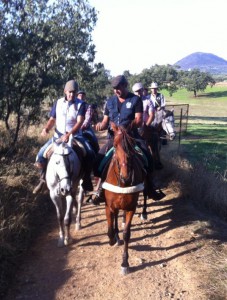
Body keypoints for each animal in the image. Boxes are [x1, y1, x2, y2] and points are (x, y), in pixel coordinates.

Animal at [102, 122, 145, 274]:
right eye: (115, 145)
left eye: (132, 144)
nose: (126, 177)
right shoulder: (108, 206)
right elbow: (109, 229)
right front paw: (112, 240)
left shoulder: (131, 208)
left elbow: (127, 233)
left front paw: (125, 263)